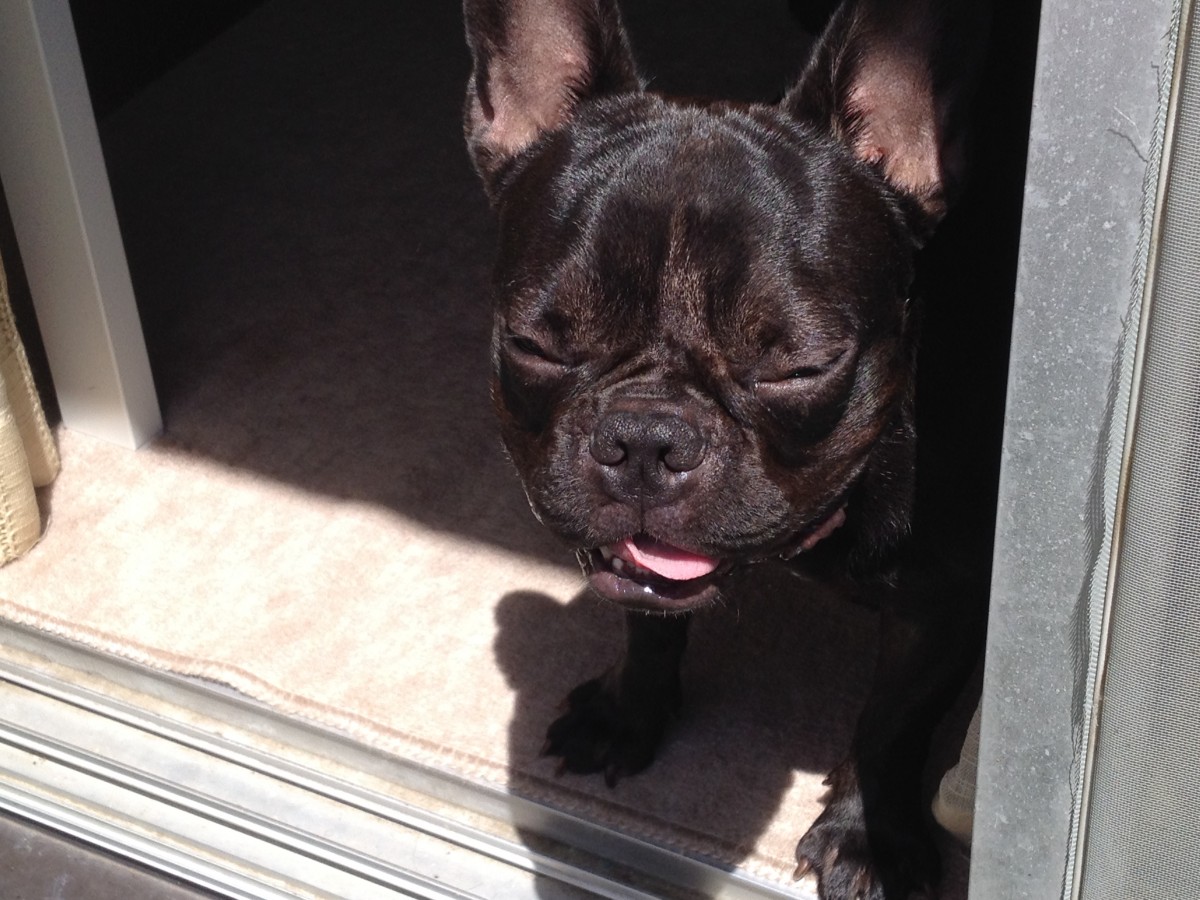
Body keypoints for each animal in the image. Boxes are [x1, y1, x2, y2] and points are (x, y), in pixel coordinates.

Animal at [463, 1, 991, 896]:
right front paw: (627, 712)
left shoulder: (944, 606)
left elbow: (890, 723)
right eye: (535, 345)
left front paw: (869, 836)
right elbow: (649, 623)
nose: (646, 438)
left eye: (799, 366)